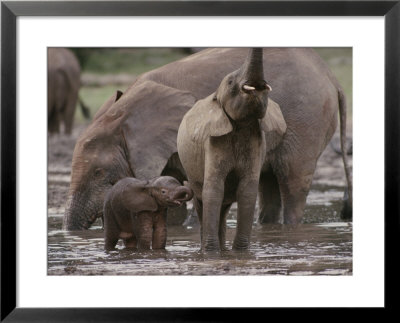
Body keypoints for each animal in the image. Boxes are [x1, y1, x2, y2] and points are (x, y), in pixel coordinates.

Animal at [61, 47, 352, 230]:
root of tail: (331, 77)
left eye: (99, 173)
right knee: (269, 184)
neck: (124, 109)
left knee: (292, 182)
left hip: (307, 123)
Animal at [177, 48, 286, 251]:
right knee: (201, 200)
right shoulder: (214, 142)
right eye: (230, 82)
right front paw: (211, 253)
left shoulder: (256, 142)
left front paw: (240, 252)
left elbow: (247, 190)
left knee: (224, 207)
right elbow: (214, 189)